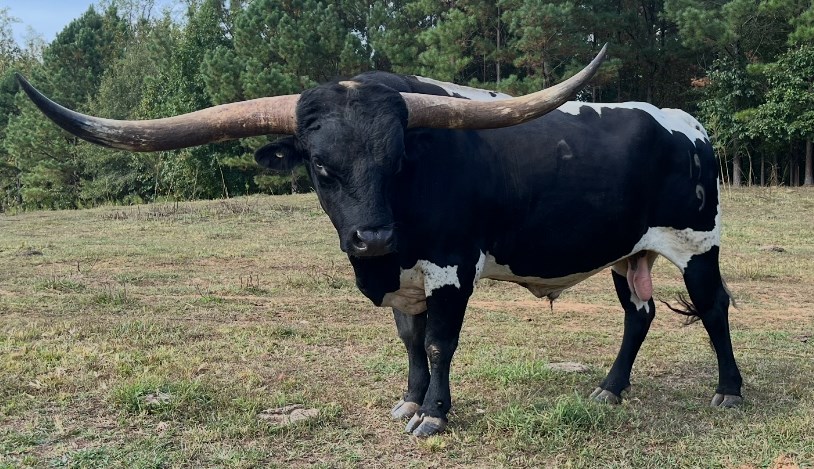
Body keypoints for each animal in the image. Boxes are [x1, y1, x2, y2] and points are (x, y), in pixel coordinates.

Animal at [16, 45, 743, 437]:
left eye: (398, 161)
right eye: (319, 165)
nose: (370, 235)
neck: (394, 247)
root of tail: (685, 122)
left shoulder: (451, 268)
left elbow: (441, 343)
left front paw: (435, 414)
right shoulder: (402, 278)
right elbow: (410, 342)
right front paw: (410, 400)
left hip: (696, 241)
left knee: (713, 307)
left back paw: (730, 391)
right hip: (629, 252)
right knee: (638, 314)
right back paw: (610, 388)